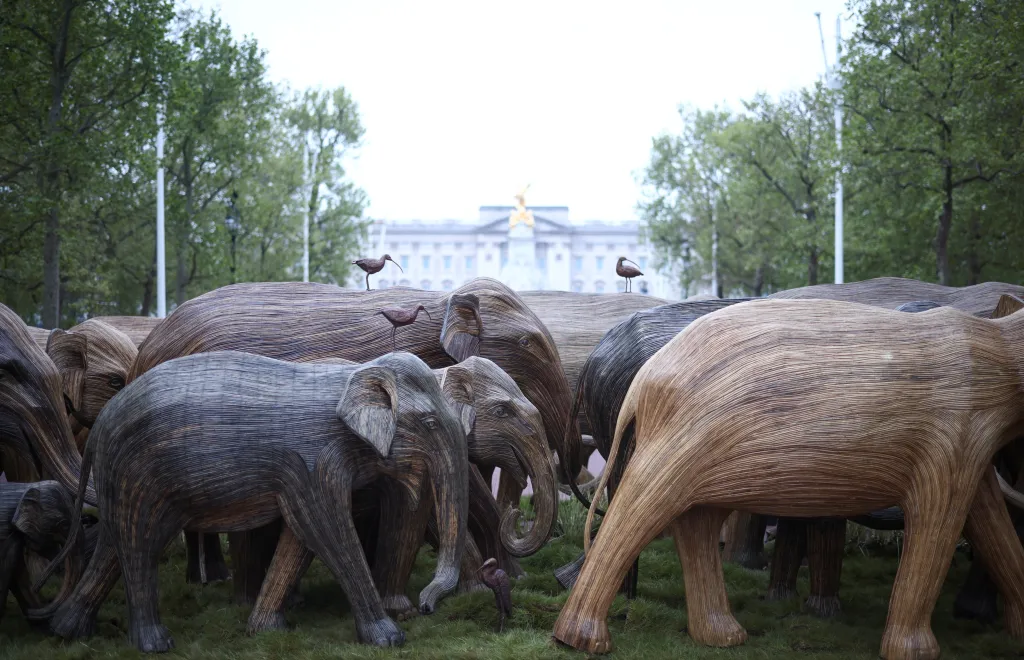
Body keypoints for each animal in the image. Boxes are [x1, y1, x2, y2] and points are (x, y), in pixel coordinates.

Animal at [49, 351, 469, 652]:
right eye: (430, 423)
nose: (425, 606)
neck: (353, 374)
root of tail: (100, 422)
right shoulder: (315, 459)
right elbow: (327, 531)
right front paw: (390, 639)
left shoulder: (306, 469)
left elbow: (301, 537)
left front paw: (266, 630)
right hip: (140, 472)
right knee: (140, 546)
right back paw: (156, 645)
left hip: (122, 478)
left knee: (114, 544)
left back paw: (68, 633)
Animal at [553, 298, 1024, 660]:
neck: (997, 338)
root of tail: (643, 380)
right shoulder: (953, 427)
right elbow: (941, 520)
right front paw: (918, 652)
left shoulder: (974, 440)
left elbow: (988, 520)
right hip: (683, 436)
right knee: (641, 507)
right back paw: (581, 641)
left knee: (696, 522)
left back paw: (723, 636)